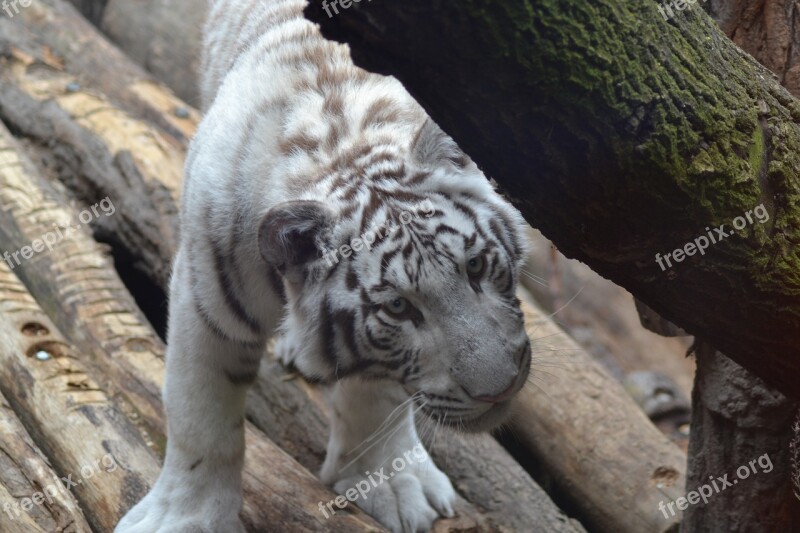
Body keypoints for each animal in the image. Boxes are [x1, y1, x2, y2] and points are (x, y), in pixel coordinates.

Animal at [117, 1, 532, 532]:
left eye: (476, 266)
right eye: (399, 308)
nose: (498, 391)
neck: (342, 143)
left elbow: (376, 398)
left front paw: (392, 484)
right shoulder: (205, 298)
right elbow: (200, 416)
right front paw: (187, 518)